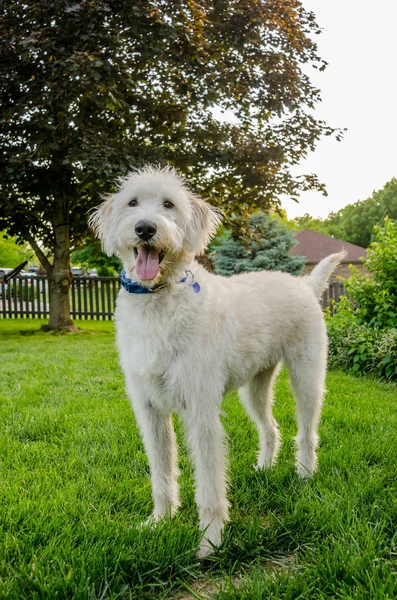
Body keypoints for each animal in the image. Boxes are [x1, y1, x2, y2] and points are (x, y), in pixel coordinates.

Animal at [89, 165, 344, 556]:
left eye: (169, 204)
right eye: (132, 203)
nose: (145, 228)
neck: (160, 300)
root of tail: (304, 285)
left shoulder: (201, 411)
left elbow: (210, 484)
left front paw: (211, 539)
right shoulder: (150, 411)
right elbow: (161, 474)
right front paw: (159, 521)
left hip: (307, 378)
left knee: (306, 432)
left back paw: (304, 474)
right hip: (255, 387)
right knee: (270, 428)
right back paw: (264, 468)